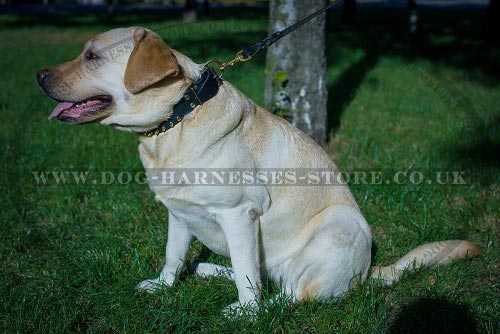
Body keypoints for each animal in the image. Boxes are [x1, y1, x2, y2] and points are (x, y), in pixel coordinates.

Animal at [36, 27, 480, 314]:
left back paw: (256, 302)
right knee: (256, 275)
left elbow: (247, 275)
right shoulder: (178, 213)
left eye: (92, 56)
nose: (38, 75)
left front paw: (245, 313)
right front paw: (164, 287)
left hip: (341, 226)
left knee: (290, 294)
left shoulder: (239, 214)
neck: (175, 122)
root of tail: (368, 273)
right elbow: (173, 256)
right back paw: (205, 268)